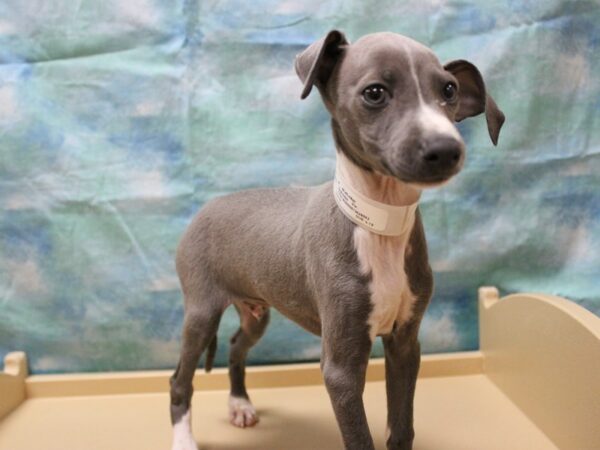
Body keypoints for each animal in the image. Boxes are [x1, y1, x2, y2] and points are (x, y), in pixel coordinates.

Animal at [170, 29, 506, 448]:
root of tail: (205, 208)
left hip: (256, 311)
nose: (446, 149)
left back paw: (240, 404)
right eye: (375, 92)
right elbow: (359, 438)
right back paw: (184, 438)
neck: (380, 227)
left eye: (449, 90)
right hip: (201, 312)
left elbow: (402, 429)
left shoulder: (405, 345)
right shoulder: (341, 368)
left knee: (234, 346)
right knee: (179, 379)